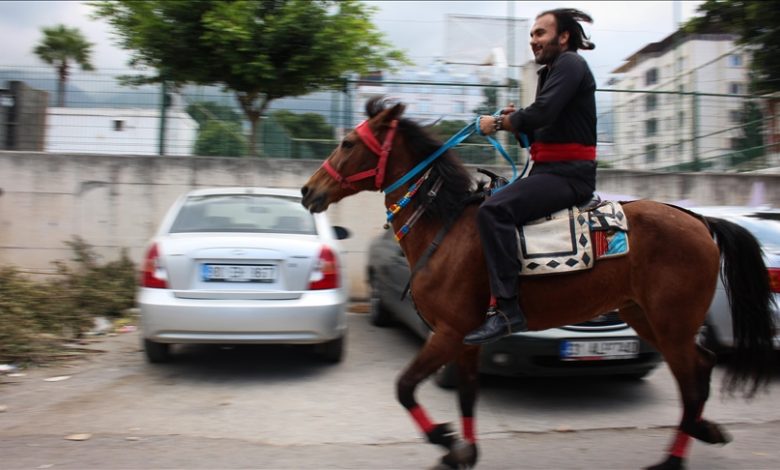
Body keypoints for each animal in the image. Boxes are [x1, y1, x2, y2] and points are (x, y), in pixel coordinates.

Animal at [300, 97, 772, 468]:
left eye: (347, 143)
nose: (308, 191)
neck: (444, 227)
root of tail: (702, 221)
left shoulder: (448, 333)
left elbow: (403, 388)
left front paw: (445, 440)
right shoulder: (464, 338)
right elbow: (467, 395)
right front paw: (464, 451)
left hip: (671, 323)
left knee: (691, 381)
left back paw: (673, 459)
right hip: (645, 317)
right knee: (702, 367)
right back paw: (704, 430)